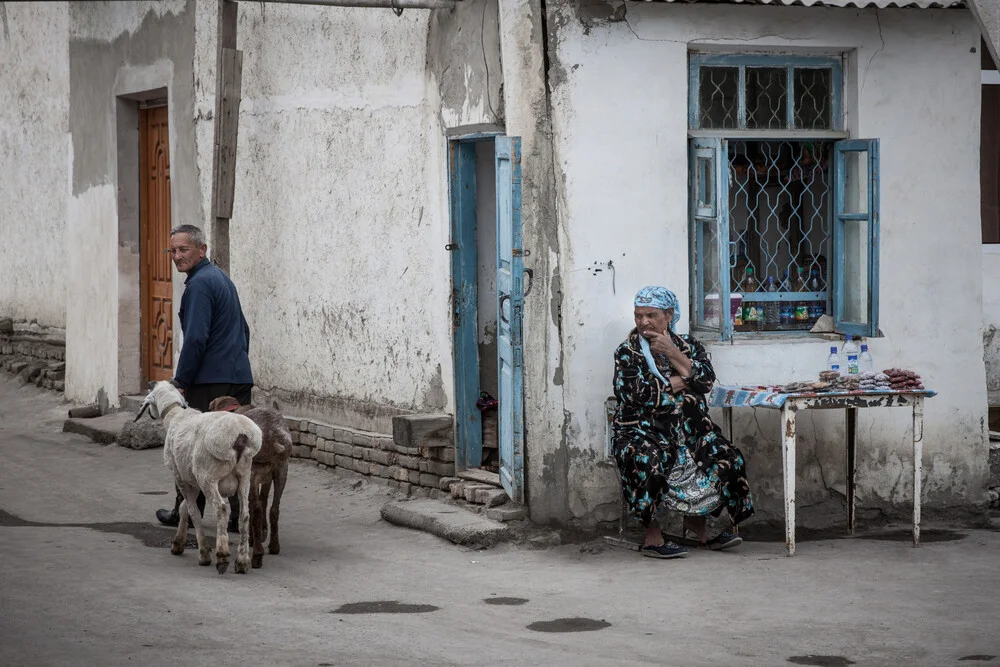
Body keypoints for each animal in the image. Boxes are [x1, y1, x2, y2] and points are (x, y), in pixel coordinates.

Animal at [136, 380, 262, 576]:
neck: (175, 415)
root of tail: (240, 436)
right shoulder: (191, 480)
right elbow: (184, 508)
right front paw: (178, 544)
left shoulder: (180, 476)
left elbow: (193, 511)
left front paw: (203, 553)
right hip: (244, 476)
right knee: (245, 513)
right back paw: (242, 561)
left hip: (208, 476)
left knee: (221, 509)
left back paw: (222, 557)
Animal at [209, 396, 292, 568]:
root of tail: (273, 435)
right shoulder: (267, 478)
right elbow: (265, 500)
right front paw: (264, 531)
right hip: (282, 470)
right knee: (274, 508)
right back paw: (274, 546)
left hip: (251, 474)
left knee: (256, 509)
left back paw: (257, 555)